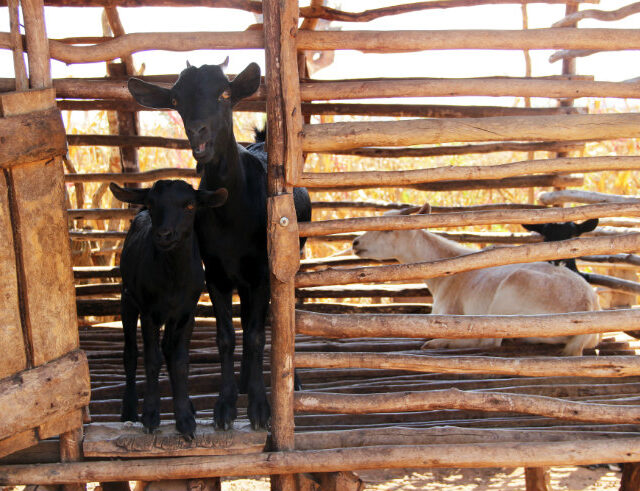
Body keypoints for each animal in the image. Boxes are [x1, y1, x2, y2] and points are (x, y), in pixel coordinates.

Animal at [110, 180, 228, 439]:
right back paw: (129, 409)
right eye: (152, 203)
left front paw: (185, 419)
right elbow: (151, 359)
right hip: (127, 299)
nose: (164, 235)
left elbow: (180, 361)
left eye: (190, 205)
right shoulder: (148, 313)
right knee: (130, 353)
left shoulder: (187, 314)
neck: (173, 278)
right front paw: (150, 416)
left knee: (167, 349)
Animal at [127, 60, 312, 430]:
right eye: (175, 99)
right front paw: (225, 406)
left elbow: (256, 336)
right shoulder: (215, 274)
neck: (231, 215)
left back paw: (290, 380)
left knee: (281, 317)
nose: (198, 131)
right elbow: (226, 336)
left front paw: (259, 407)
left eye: (225, 94)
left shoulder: (262, 273)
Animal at [352, 205, 600, 356]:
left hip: (508, 296)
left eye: (388, 230)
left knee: (489, 341)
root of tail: (587, 304)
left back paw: (438, 343)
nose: (355, 243)